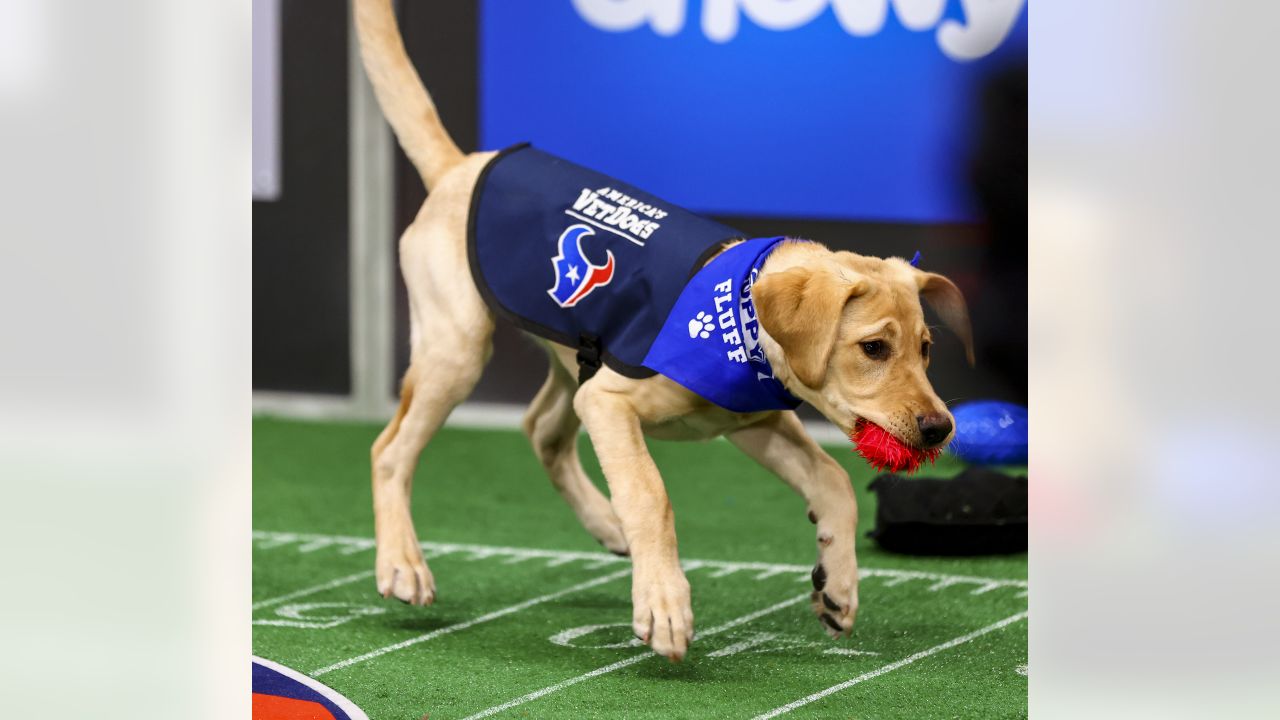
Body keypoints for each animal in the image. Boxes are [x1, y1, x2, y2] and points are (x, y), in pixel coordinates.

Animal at [350, 0, 967, 661]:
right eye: (873, 348)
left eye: (926, 350)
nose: (941, 428)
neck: (739, 326)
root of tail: (461, 168)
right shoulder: (611, 400)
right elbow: (651, 493)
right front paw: (664, 603)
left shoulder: (754, 424)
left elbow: (833, 480)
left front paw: (839, 587)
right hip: (460, 349)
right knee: (390, 451)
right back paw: (402, 564)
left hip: (569, 362)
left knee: (541, 430)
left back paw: (605, 523)